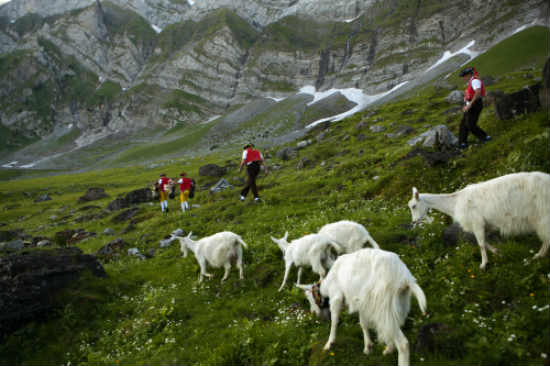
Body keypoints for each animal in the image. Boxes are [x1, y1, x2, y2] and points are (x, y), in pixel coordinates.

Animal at [298, 249, 426, 366]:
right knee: (390, 330)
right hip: (397, 306)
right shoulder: (362, 304)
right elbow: (363, 323)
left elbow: (334, 321)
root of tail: (404, 278)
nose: (314, 313)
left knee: (403, 343)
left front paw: (329, 344)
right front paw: (368, 347)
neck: (327, 284)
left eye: (311, 299)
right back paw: (388, 349)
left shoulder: (336, 297)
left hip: (384, 306)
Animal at [410, 171, 550, 268]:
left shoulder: (476, 222)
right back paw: (538, 256)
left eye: (413, 206)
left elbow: (481, 244)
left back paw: (538, 255)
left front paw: (483, 264)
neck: (454, 202)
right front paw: (497, 252)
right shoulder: (484, 225)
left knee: (546, 238)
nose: (414, 221)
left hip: (542, 215)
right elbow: (485, 242)